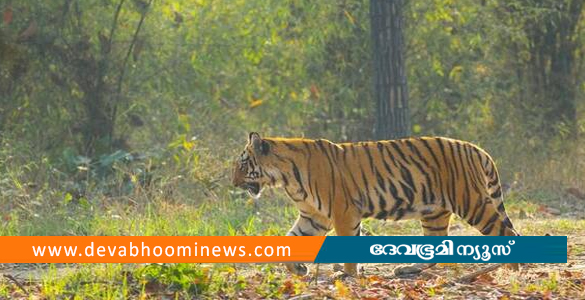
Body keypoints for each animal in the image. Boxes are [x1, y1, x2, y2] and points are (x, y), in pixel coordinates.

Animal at [230, 132, 516, 278]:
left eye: (242, 164)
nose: (233, 182)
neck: (286, 178)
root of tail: (476, 148)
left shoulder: (343, 211)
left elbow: (347, 245)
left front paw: (347, 275)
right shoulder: (314, 217)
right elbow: (292, 239)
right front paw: (298, 268)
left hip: (471, 201)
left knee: (507, 232)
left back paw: (511, 270)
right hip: (434, 212)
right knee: (436, 246)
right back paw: (407, 269)